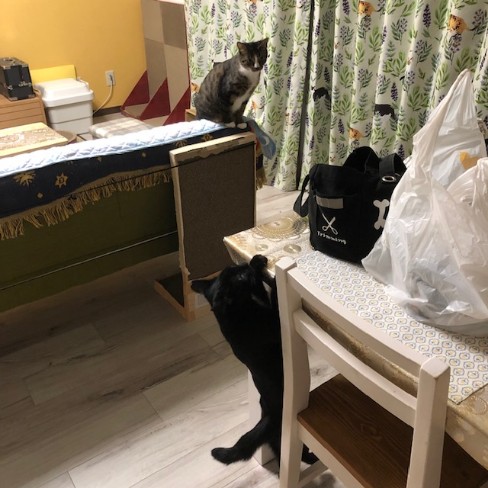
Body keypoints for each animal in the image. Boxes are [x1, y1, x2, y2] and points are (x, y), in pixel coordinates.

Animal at [191, 254, 317, 466]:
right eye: (239, 276)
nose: (243, 264)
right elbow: (276, 294)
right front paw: (270, 274)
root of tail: (269, 413)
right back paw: (311, 458)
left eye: (235, 269)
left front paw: (257, 263)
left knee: (277, 450)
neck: (239, 312)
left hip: (275, 435)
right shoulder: (276, 323)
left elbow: (262, 288)